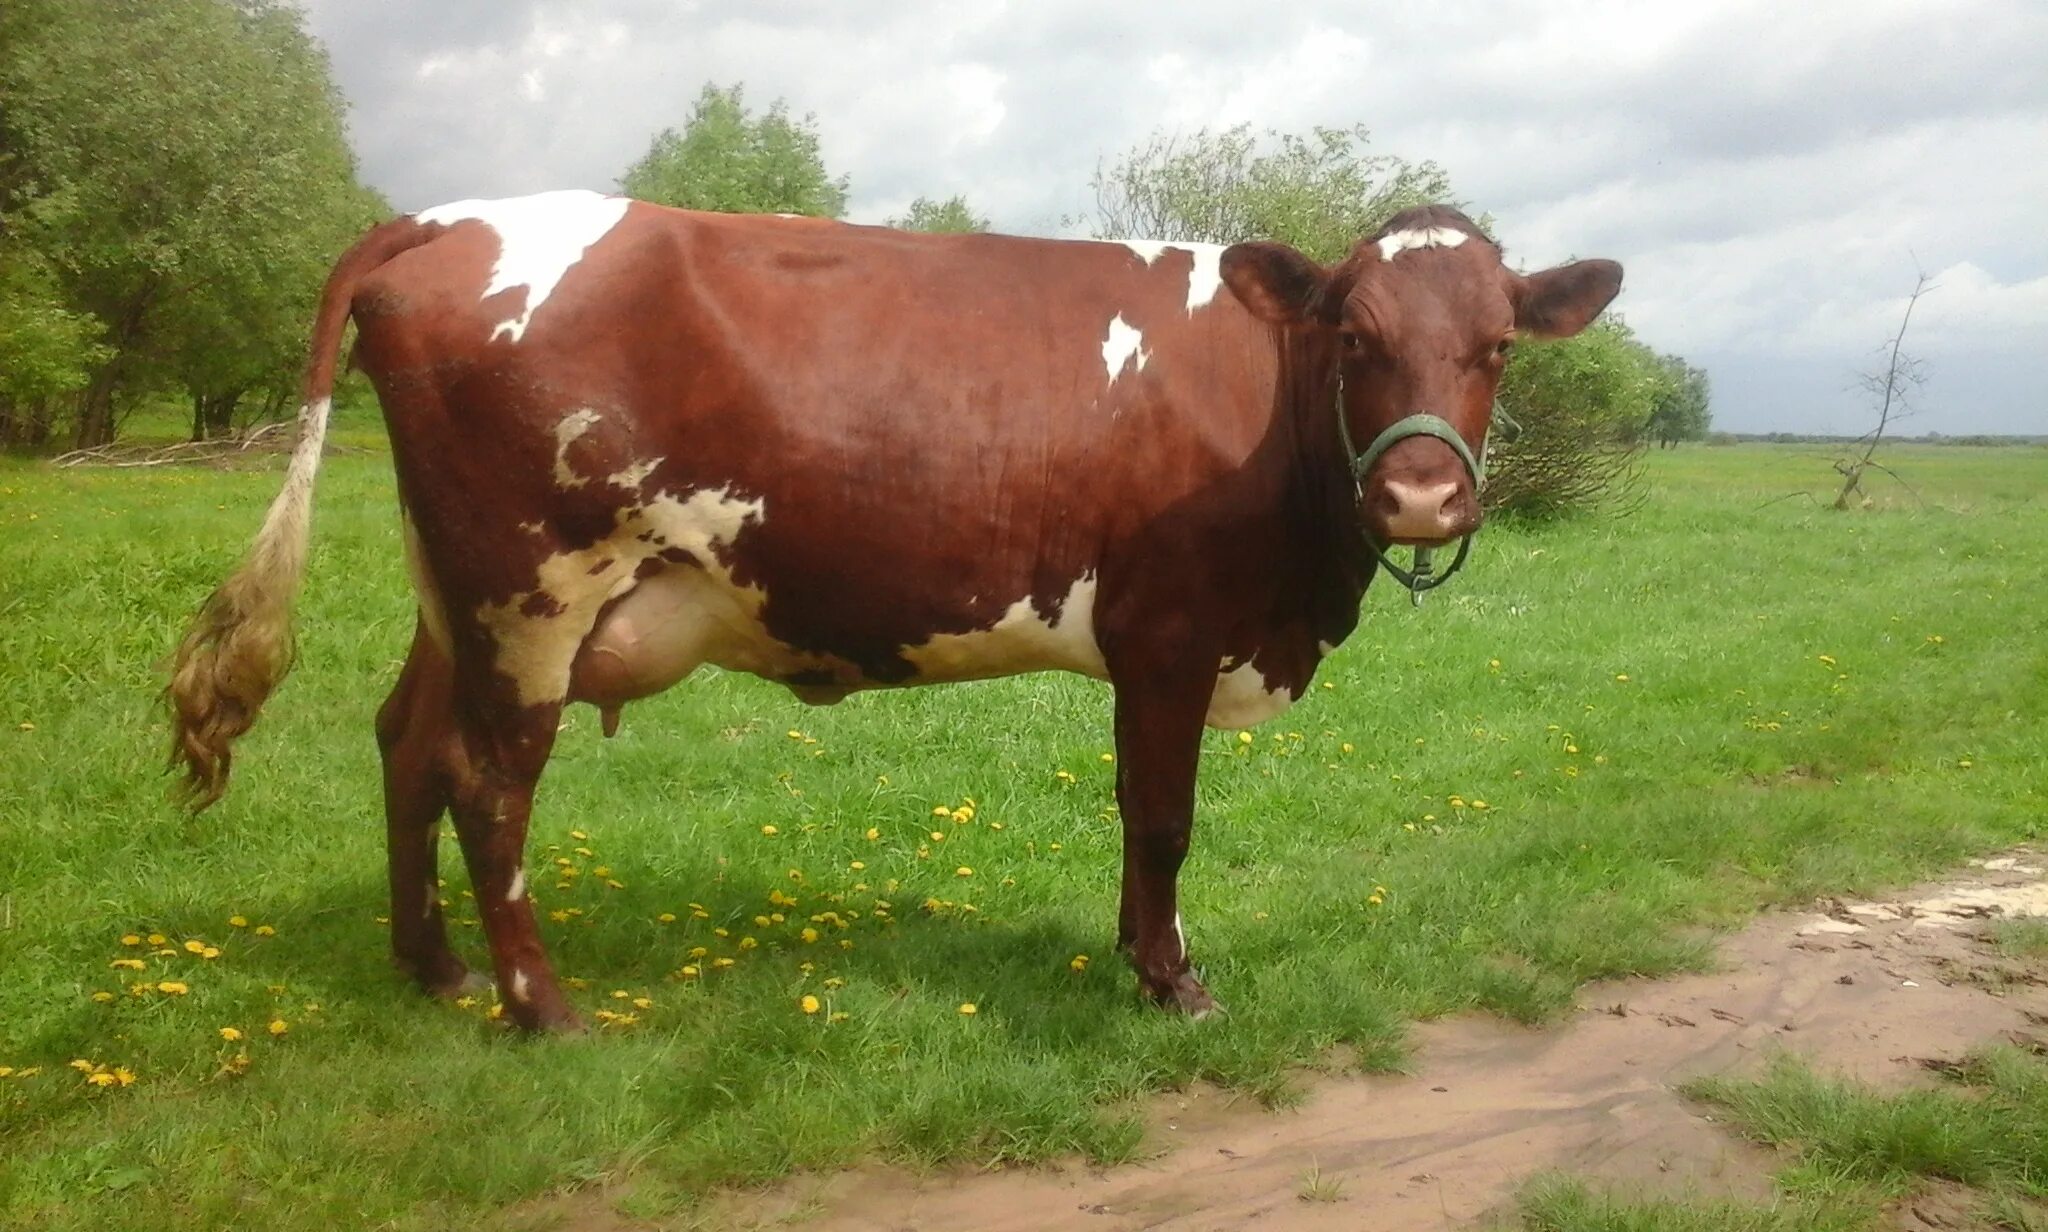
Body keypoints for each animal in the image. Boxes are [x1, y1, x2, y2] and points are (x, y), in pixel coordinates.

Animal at [167, 192, 1622, 1031]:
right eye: (1354, 336)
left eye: (1495, 344)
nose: (1424, 496)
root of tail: (448, 215)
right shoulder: (1165, 632)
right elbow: (1162, 817)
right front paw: (1171, 982)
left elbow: (1134, 817)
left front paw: (1131, 956)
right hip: (530, 588)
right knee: (486, 780)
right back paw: (543, 1007)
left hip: (452, 594)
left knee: (408, 744)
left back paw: (434, 969)